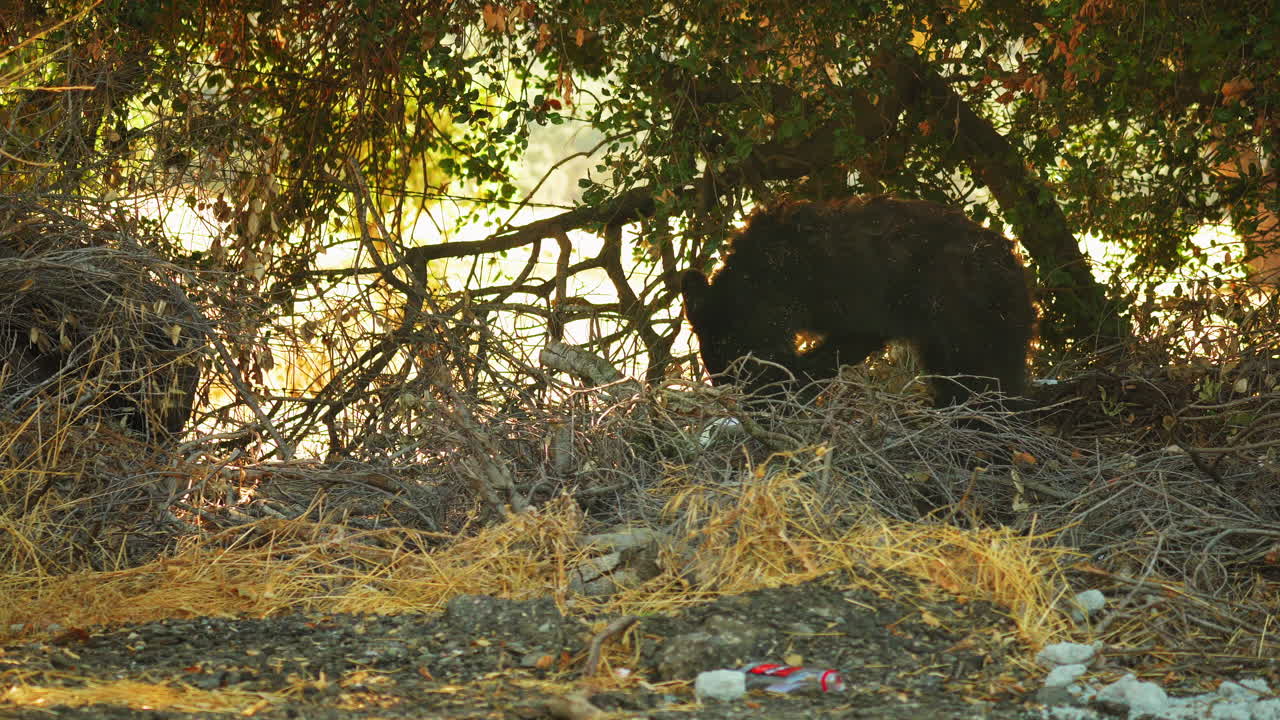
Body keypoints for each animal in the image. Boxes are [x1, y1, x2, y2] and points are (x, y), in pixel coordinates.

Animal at [681, 195, 1035, 407]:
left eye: (734, 361)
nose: (738, 391)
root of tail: (1017, 266)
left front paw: (790, 387)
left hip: (972, 309)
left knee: (984, 371)